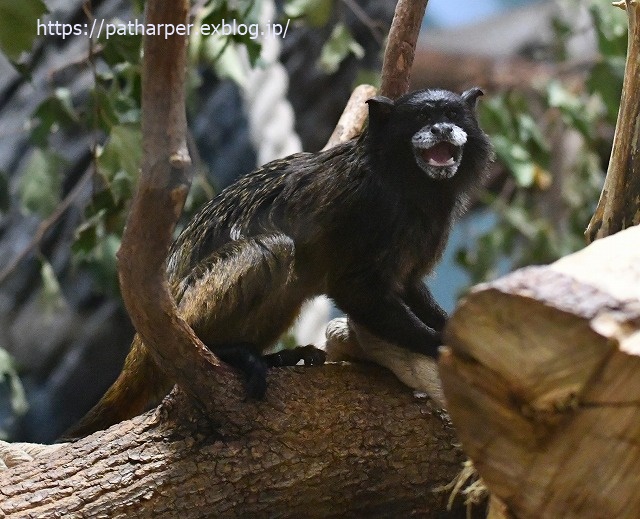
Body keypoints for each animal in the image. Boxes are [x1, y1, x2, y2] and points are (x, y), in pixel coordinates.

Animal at [65, 87, 492, 436]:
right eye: (421, 120)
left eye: (452, 116)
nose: (441, 130)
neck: (407, 183)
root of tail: (141, 345)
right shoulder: (365, 208)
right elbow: (355, 289)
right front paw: (441, 348)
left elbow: (408, 286)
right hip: (186, 306)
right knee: (275, 247)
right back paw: (228, 352)